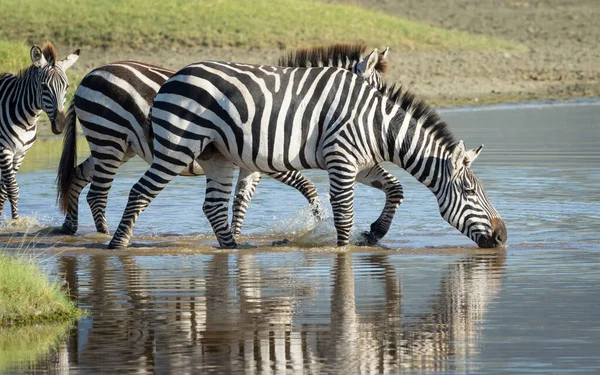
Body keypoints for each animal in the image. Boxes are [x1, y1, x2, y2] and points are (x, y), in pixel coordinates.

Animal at [0, 43, 79, 220]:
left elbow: (3, 191)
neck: (26, 120)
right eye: (44, 86)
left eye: (67, 87)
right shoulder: (4, 150)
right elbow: (12, 189)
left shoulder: (20, 153)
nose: (60, 125)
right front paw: (15, 223)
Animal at [55, 44, 394, 241]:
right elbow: (308, 187)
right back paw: (103, 233)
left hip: (116, 145)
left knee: (77, 177)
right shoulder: (273, 162)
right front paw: (317, 223)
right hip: (109, 139)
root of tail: (87, 77)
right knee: (97, 192)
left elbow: (240, 203)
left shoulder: (251, 164)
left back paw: (71, 228)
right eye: (375, 96)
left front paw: (236, 237)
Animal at [106, 61, 506, 250]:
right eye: (471, 193)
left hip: (217, 156)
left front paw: (375, 232)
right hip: (178, 146)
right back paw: (117, 245)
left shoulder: (361, 164)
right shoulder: (341, 159)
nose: (503, 237)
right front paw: (344, 251)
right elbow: (343, 213)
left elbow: (396, 189)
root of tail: (174, 77)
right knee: (139, 192)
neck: (377, 126)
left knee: (214, 206)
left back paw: (234, 247)